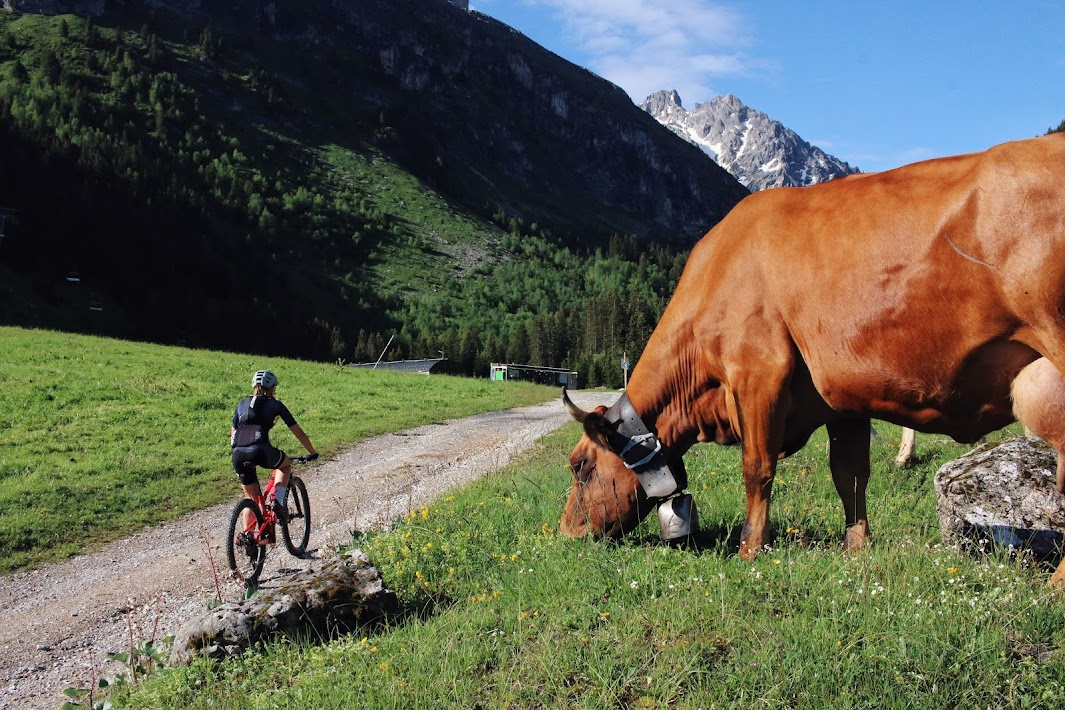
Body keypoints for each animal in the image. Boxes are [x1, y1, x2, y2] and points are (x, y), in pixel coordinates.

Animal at [558, 131, 1065, 566]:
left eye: (579, 466)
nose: (565, 533)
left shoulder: (759, 374)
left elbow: (757, 468)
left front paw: (750, 551)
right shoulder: (845, 399)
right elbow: (850, 475)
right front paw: (856, 549)